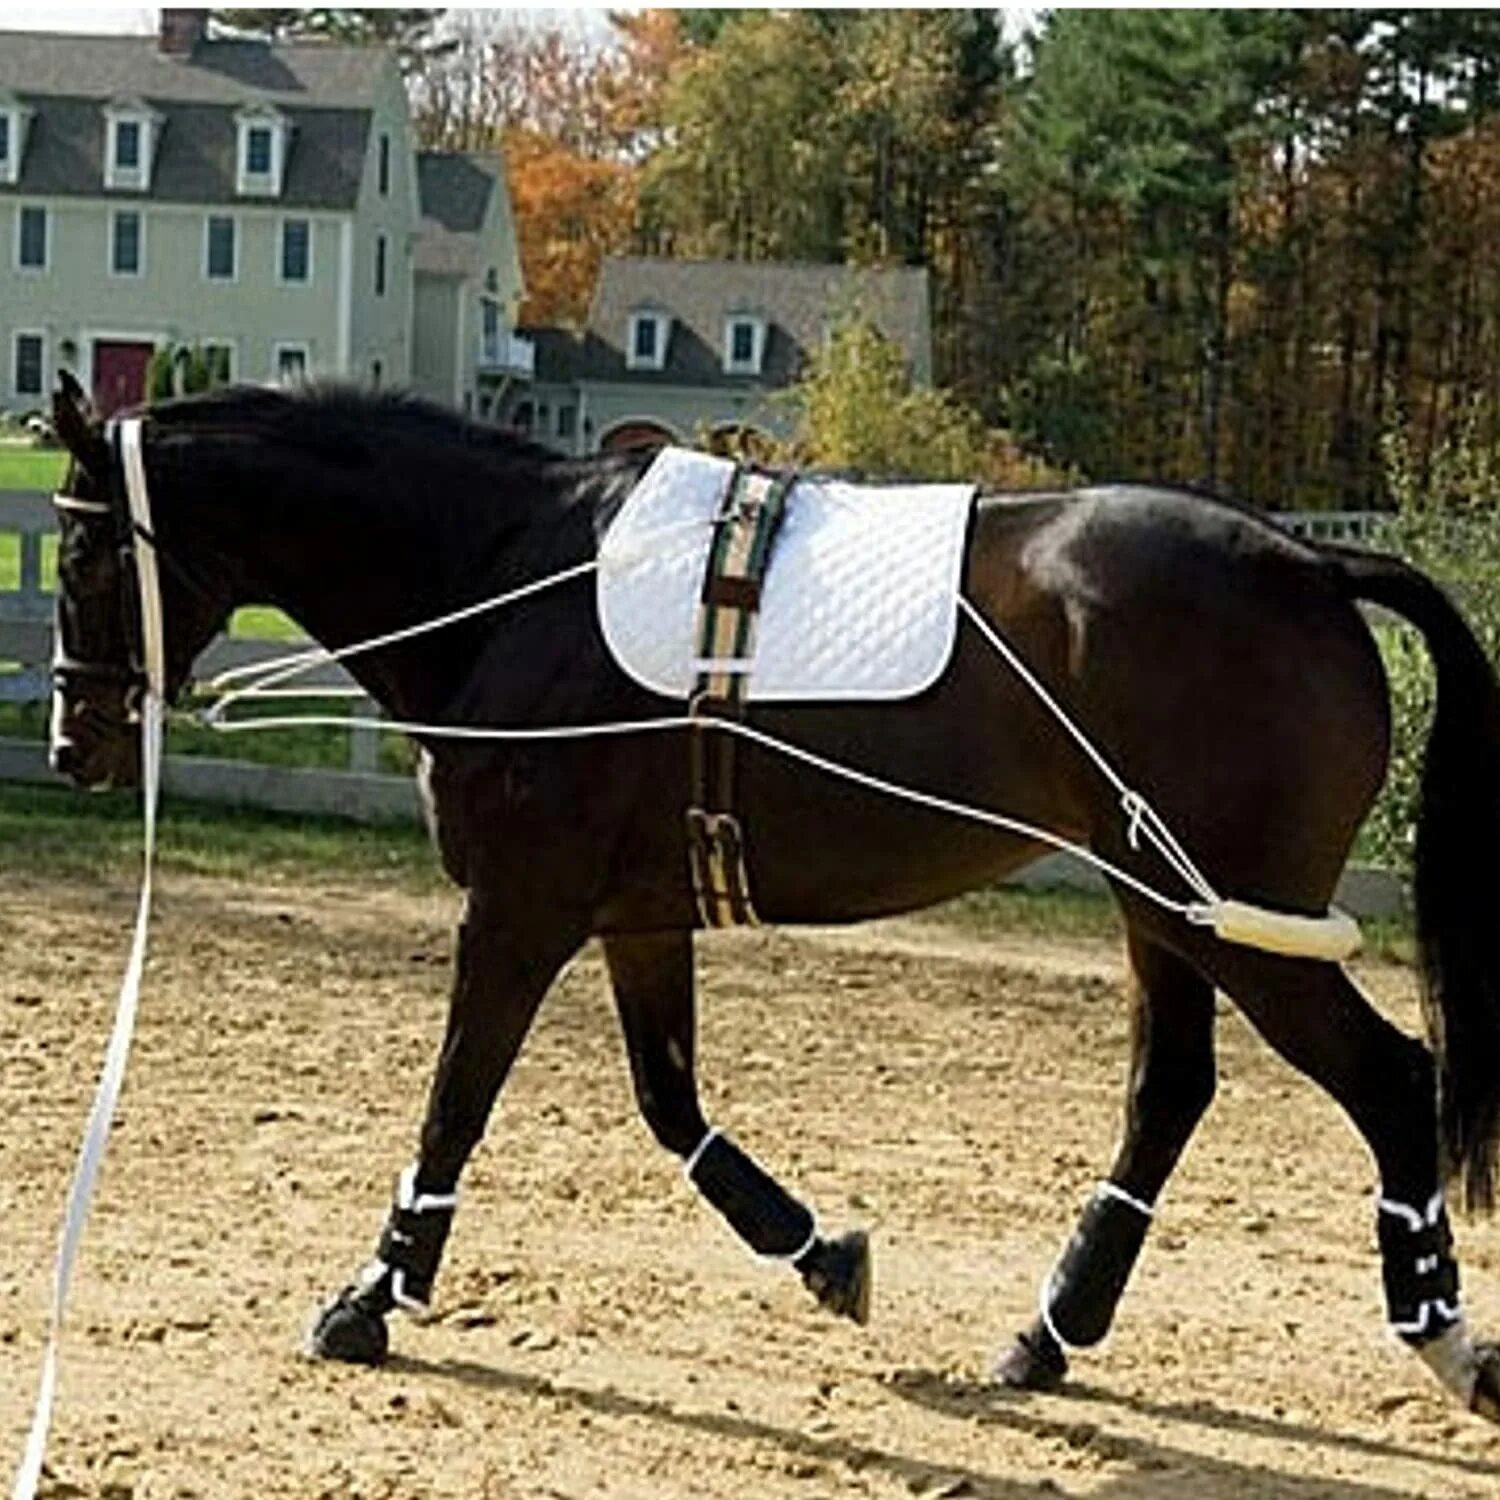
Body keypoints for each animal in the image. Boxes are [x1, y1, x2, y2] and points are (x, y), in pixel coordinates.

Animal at [41, 372, 1500, 1416]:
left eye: (83, 560)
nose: (74, 746)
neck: (511, 579)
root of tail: (1307, 561)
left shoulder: (519, 909)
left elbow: (457, 1102)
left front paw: (371, 1296)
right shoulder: (635, 916)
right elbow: (668, 1103)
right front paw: (819, 1252)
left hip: (1236, 921)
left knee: (1388, 1079)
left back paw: (1441, 1336)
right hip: (1163, 907)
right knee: (1172, 1094)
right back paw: (1048, 1332)